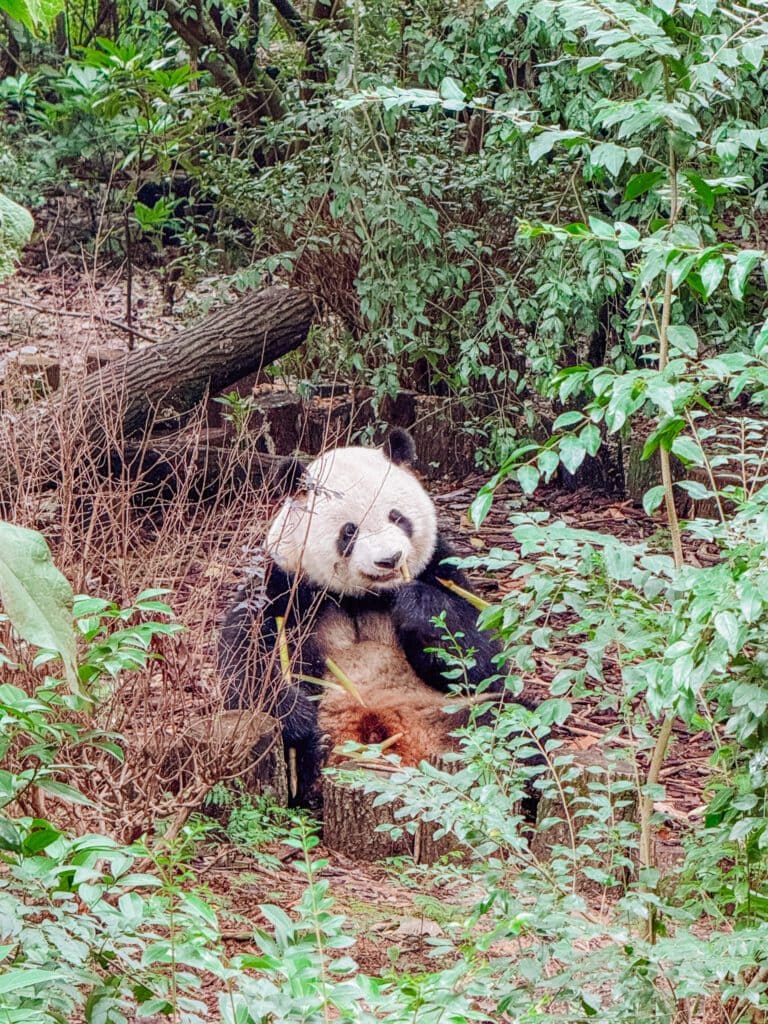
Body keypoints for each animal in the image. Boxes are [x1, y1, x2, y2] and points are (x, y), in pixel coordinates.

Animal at [218, 428, 516, 805]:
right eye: (350, 530)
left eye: (397, 517)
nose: (389, 560)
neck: (365, 596)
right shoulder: (283, 582)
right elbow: (244, 658)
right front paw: (295, 714)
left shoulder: (440, 566)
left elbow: (484, 661)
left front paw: (414, 604)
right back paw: (313, 761)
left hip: (445, 713)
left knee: (503, 721)